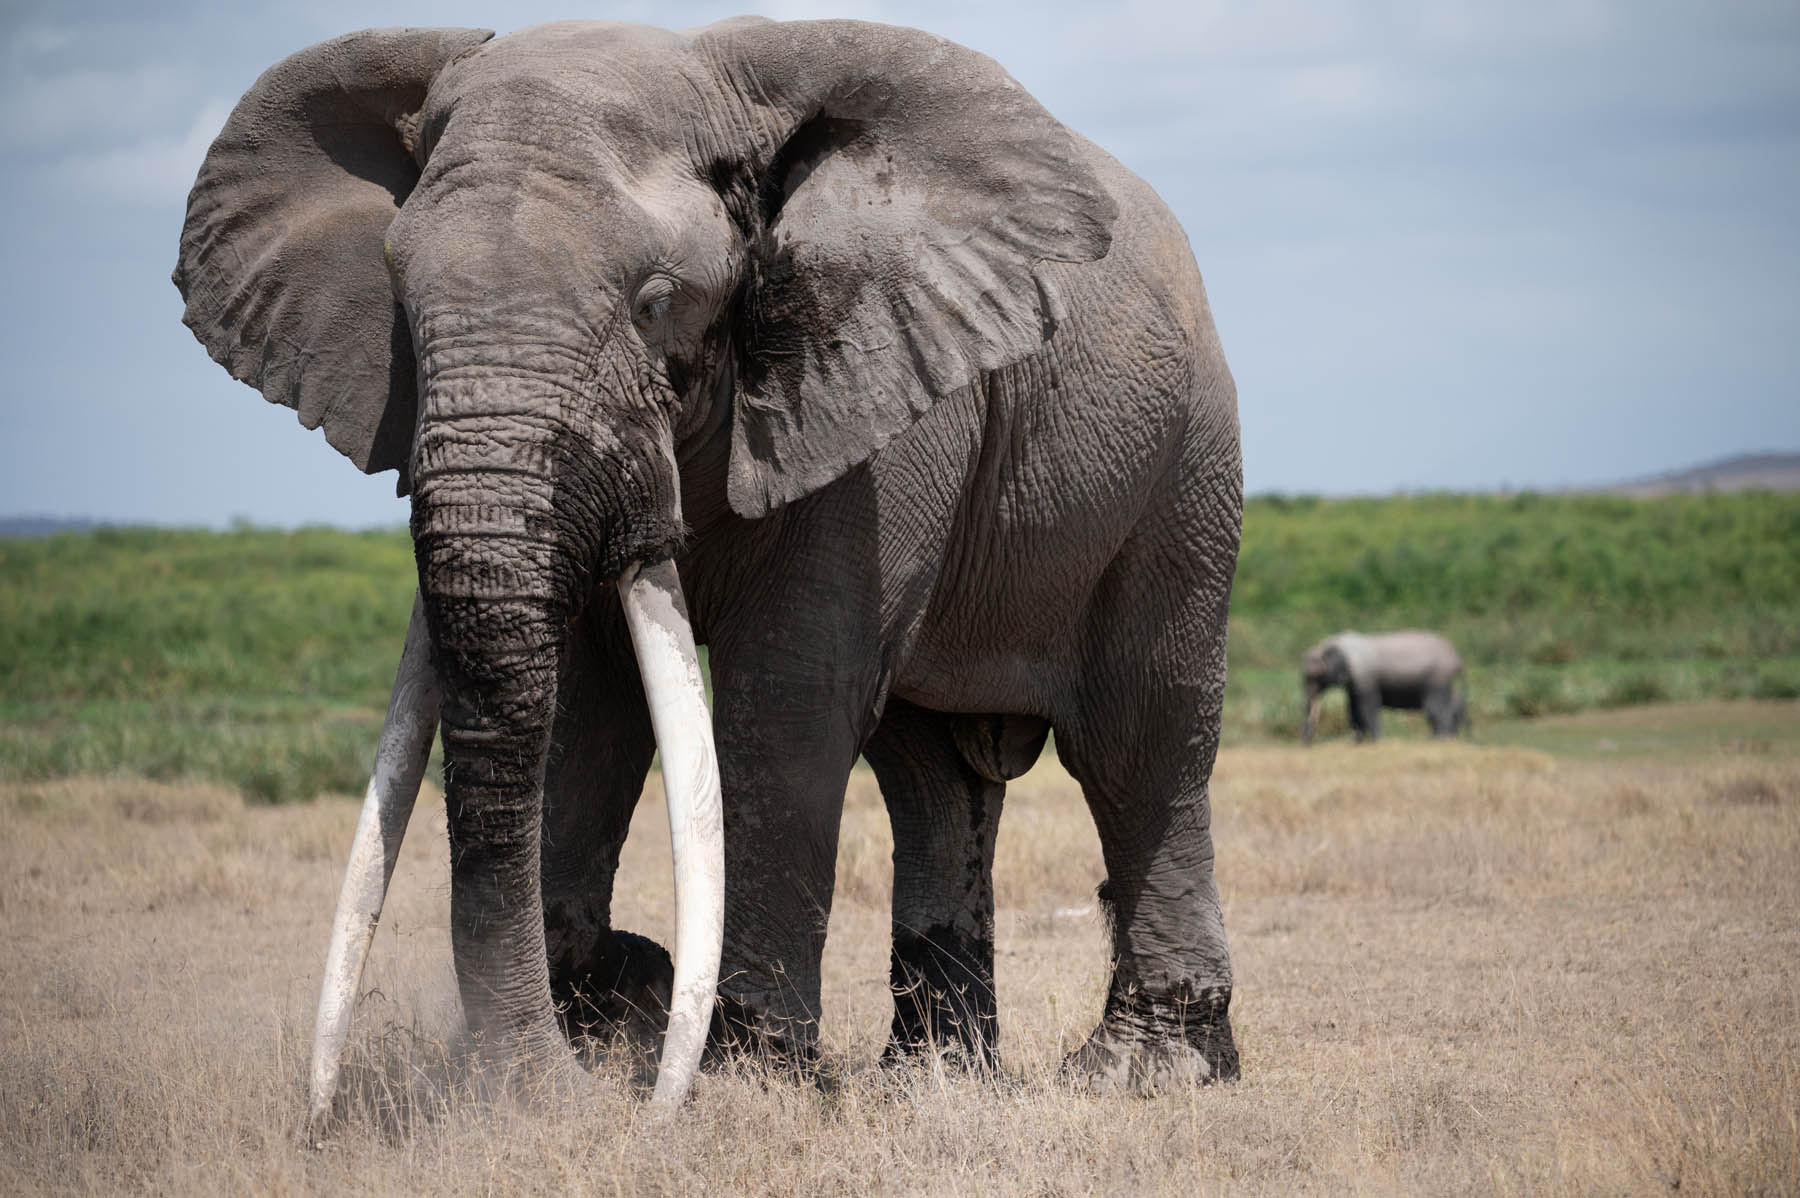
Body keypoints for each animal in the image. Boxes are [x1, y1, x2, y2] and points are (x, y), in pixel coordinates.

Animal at [174, 18, 1244, 1117]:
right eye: (396, 292)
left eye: (655, 302)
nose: (535, 1084)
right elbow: (590, 705)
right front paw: (612, 997)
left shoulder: (877, 397)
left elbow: (786, 696)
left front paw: (738, 1073)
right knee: (930, 770)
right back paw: (934, 1077)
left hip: (1182, 467)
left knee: (1137, 737)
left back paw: (1147, 1070)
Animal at [1299, 631, 1468, 744]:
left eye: (1316, 676)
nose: (1306, 745)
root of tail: (1457, 658)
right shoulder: (1353, 686)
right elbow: (1353, 711)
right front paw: (1357, 743)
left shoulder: (1365, 678)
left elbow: (1368, 709)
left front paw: (1377, 742)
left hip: (1437, 679)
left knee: (1437, 710)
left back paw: (1441, 740)